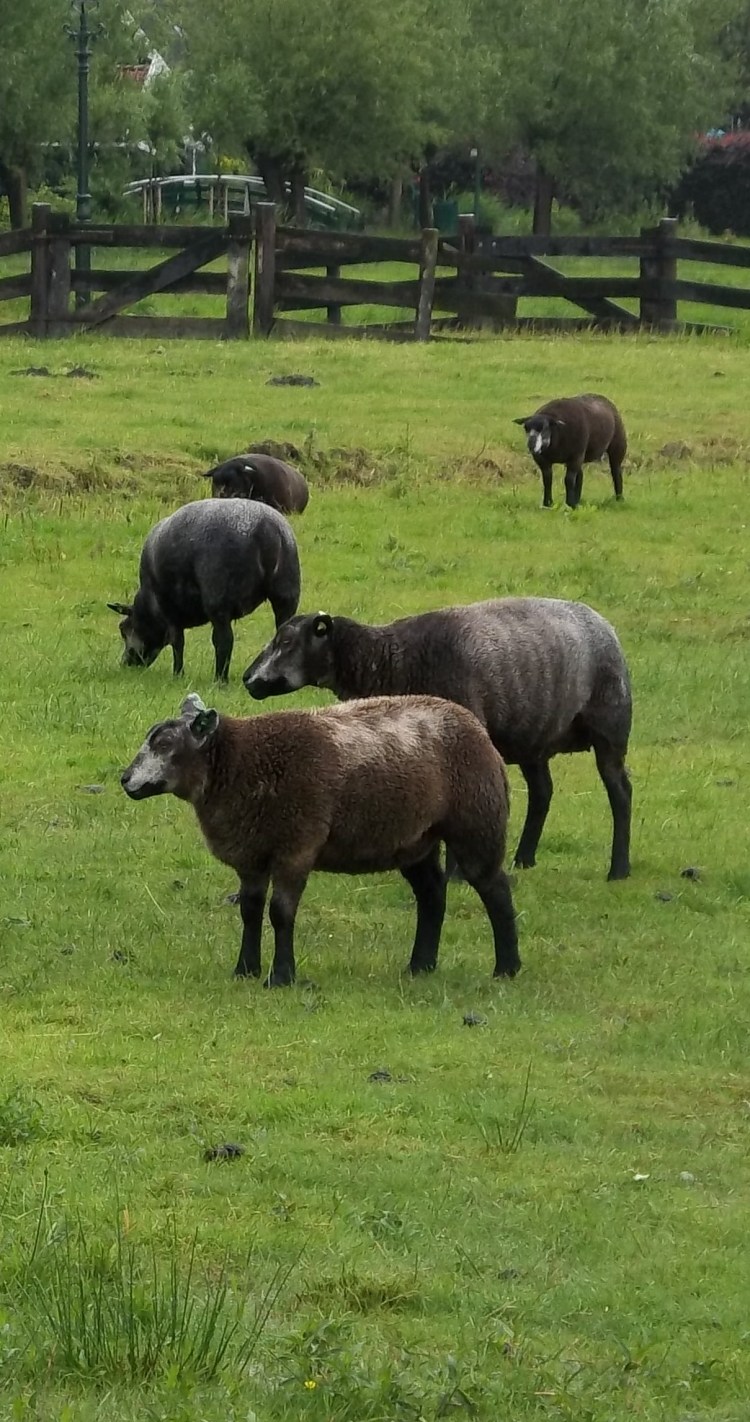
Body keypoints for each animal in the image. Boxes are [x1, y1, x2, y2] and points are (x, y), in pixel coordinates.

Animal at [107, 499, 300, 682]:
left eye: (123, 628)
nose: (125, 664)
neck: (148, 604)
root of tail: (266, 529)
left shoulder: (170, 611)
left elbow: (178, 643)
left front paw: (178, 675)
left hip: (218, 600)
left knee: (223, 640)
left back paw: (220, 680)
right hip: (286, 594)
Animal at [120, 692, 519, 986]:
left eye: (165, 743)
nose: (125, 780)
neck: (241, 764)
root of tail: (476, 727)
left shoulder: (296, 847)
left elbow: (280, 912)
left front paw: (281, 977)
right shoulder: (252, 855)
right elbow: (250, 910)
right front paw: (245, 970)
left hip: (475, 822)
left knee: (495, 887)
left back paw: (507, 968)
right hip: (413, 839)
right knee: (432, 893)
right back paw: (420, 966)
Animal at [243, 597, 632, 882]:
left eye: (286, 642)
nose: (248, 679)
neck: (391, 660)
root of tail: (604, 624)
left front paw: (455, 876)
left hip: (610, 726)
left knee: (620, 791)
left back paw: (618, 869)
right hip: (533, 738)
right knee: (542, 793)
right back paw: (524, 859)